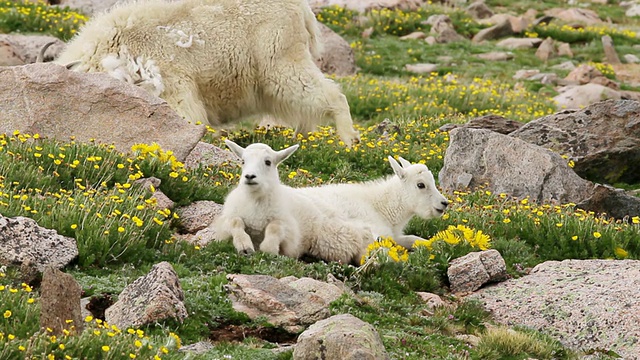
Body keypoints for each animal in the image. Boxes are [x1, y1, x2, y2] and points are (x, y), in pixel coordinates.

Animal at [55, 0, 360, 146]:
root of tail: (304, 10)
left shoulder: (171, 80)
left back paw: (349, 139)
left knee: (316, 90)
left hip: (277, 54)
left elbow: (185, 112)